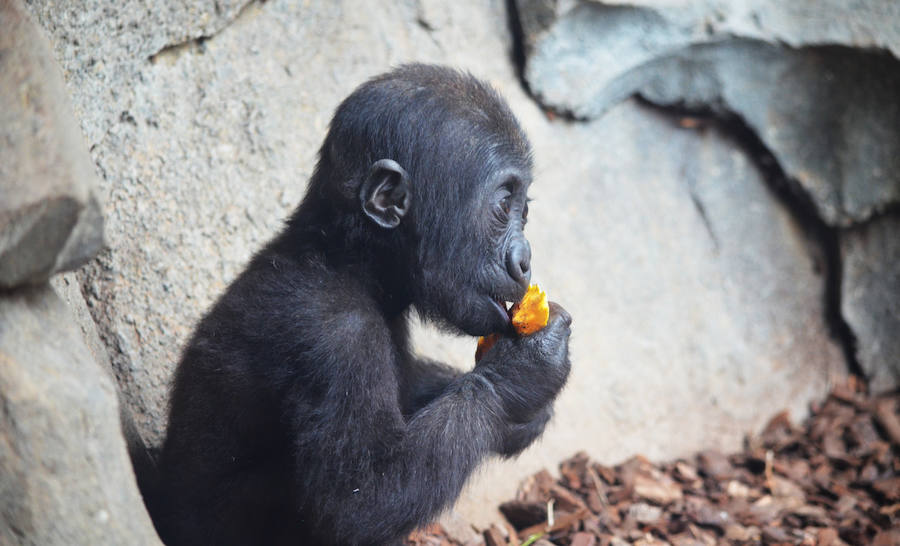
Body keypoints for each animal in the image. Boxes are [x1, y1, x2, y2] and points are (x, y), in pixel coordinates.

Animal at [148, 65, 568, 544]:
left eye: (524, 211)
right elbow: (360, 499)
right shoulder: (337, 337)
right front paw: (522, 376)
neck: (348, 262)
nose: (525, 258)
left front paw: (523, 414)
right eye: (502, 205)